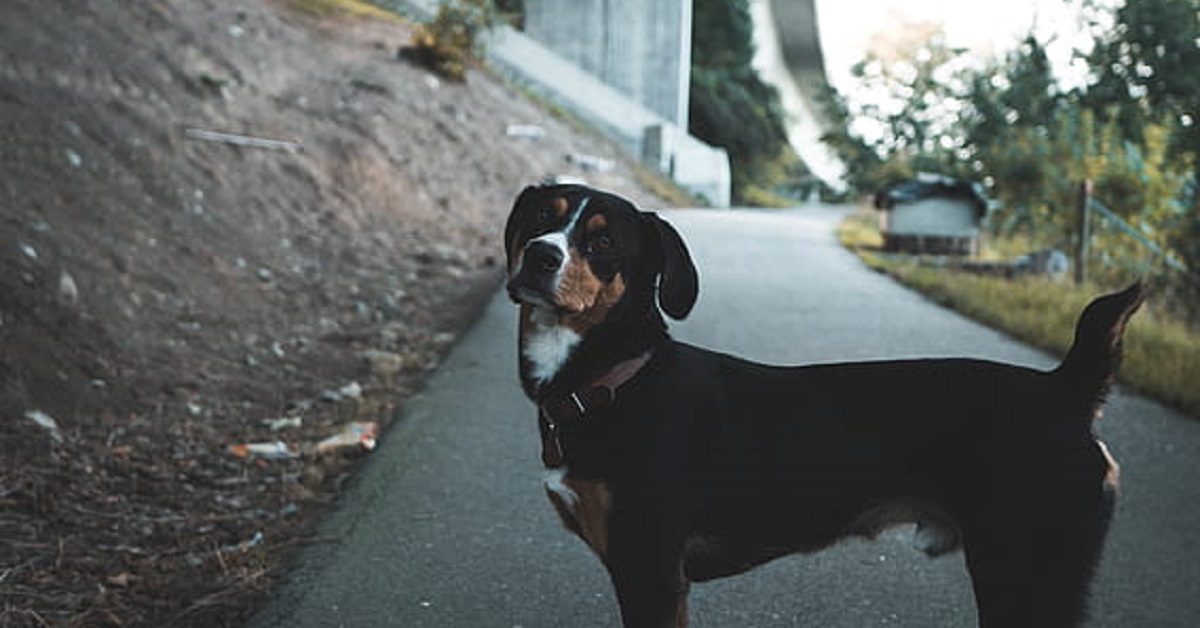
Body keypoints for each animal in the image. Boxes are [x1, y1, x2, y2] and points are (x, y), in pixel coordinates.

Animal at [501, 184, 1137, 628]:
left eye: (603, 241)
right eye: (540, 219)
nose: (539, 256)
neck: (614, 380)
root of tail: (1065, 389)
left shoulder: (651, 570)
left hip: (1027, 570)